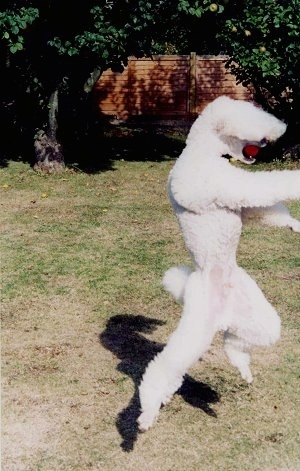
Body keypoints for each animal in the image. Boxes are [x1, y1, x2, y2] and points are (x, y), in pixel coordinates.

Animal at [138, 95, 300, 432]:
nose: (266, 142)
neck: (201, 151)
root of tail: (223, 317)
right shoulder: (224, 183)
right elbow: (267, 188)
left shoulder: (238, 197)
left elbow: (259, 209)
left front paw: (294, 225)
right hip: (196, 327)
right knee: (165, 368)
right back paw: (147, 413)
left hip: (258, 320)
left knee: (235, 343)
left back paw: (240, 365)